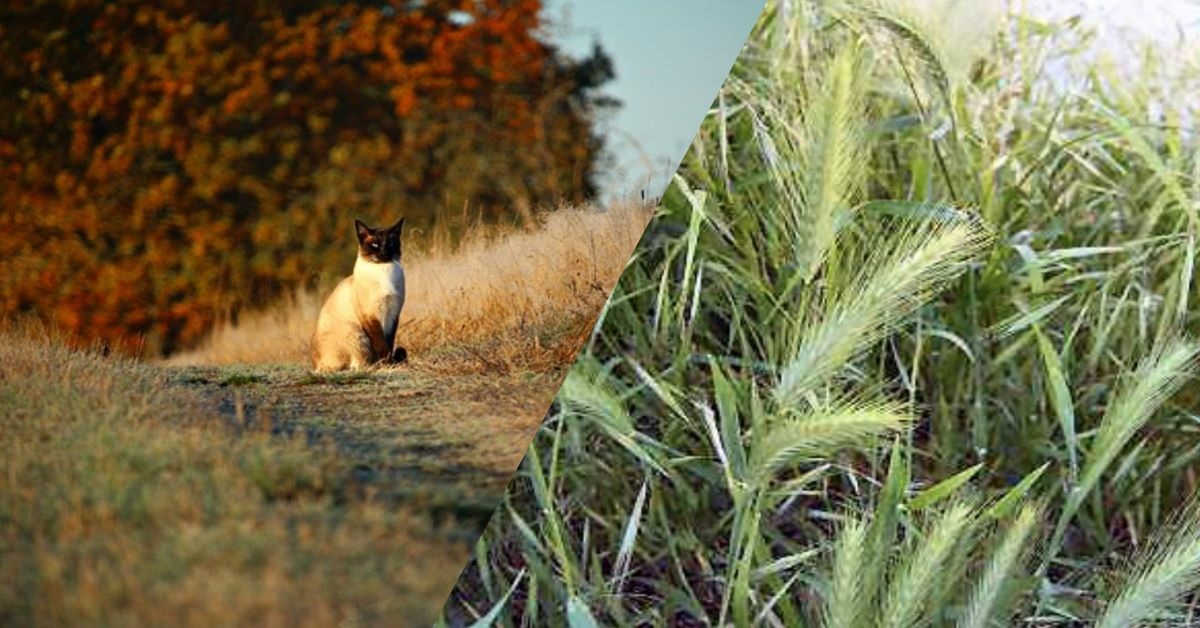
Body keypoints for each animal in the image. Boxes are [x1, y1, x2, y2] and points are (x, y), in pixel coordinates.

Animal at [309, 217, 408, 374]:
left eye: (391, 244)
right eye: (375, 245)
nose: (384, 254)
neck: (384, 271)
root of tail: (316, 365)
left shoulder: (393, 314)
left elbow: (389, 343)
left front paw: (390, 363)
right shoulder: (371, 316)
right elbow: (381, 345)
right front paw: (388, 364)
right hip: (356, 332)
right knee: (357, 365)